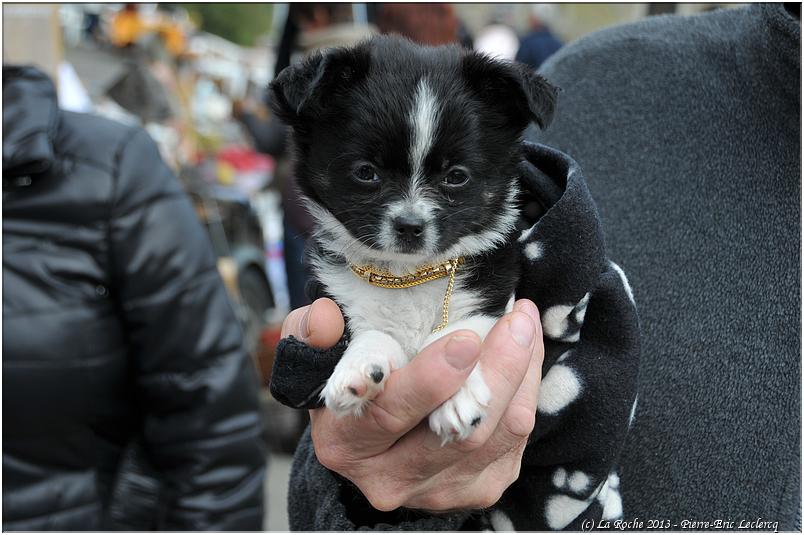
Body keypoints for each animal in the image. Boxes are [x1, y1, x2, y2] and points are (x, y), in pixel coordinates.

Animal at [272, 34, 560, 444]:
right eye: (366, 173)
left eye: (456, 177)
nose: (410, 225)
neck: (407, 275)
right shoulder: (341, 306)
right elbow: (375, 333)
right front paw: (360, 367)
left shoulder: (492, 301)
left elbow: (461, 333)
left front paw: (458, 394)